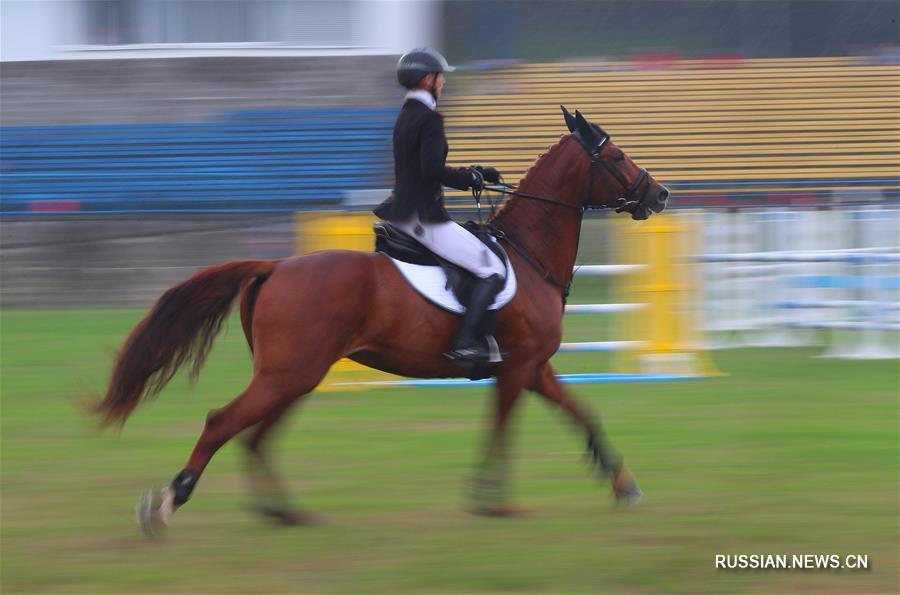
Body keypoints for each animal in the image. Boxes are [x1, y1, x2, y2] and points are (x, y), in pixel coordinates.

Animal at [95, 106, 668, 536]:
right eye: (616, 156)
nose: (659, 195)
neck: (528, 256)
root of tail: (276, 265)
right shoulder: (518, 368)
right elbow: (502, 432)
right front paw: (493, 501)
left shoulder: (532, 367)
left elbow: (581, 413)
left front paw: (623, 484)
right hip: (290, 374)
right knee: (223, 424)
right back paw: (168, 502)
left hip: (295, 376)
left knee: (255, 437)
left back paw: (284, 512)